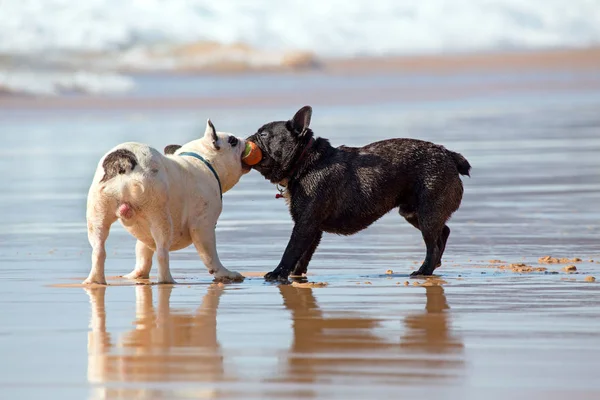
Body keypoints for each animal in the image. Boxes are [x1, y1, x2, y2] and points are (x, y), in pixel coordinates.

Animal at [83, 119, 247, 284]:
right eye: (233, 141)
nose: (246, 140)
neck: (204, 159)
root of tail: (124, 164)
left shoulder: (145, 232)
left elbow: (143, 250)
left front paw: (138, 274)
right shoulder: (203, 225)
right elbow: (210, 255)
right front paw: (225, 274)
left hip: (98, 214)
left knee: (99, 249)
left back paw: (95, 281)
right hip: (160, 216)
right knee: (162, 252)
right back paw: (167, 280)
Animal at [246, 105, 472, 282]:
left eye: (263, 135)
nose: (247, 138)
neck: (305, 161)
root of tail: (448, 154)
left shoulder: (305, 225)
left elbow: (291, 249)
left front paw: (278, 274)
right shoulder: (311, 227)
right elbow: (303, 254)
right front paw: (295, 274)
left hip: (427, 213)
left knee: (432, 245)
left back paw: (424, 271)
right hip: (412, 213)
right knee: (443, 232)